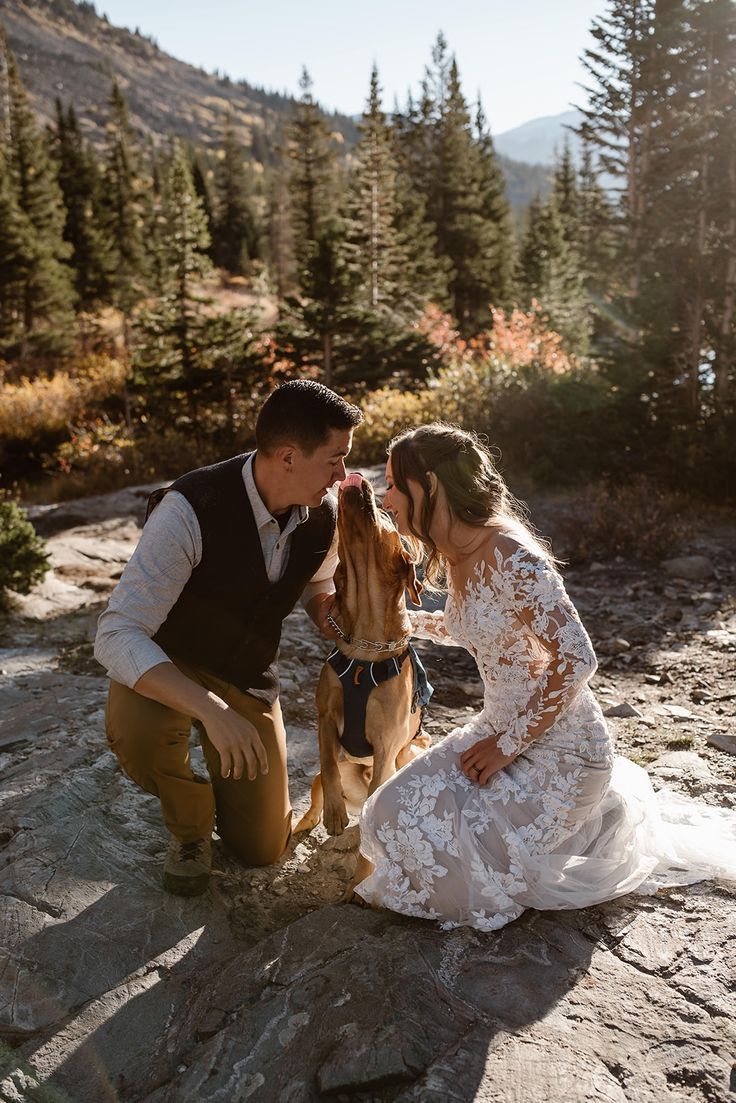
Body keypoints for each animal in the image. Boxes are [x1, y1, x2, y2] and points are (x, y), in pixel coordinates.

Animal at [295, 474, 428, 886]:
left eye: (386, 516)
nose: (359, 480)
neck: (364, 653)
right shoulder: (324, 718)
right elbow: (326, 765)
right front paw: (335, 814)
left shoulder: (385, 747)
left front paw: (360, 882)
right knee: (319, 786)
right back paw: (307, 823)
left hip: (404, 758)